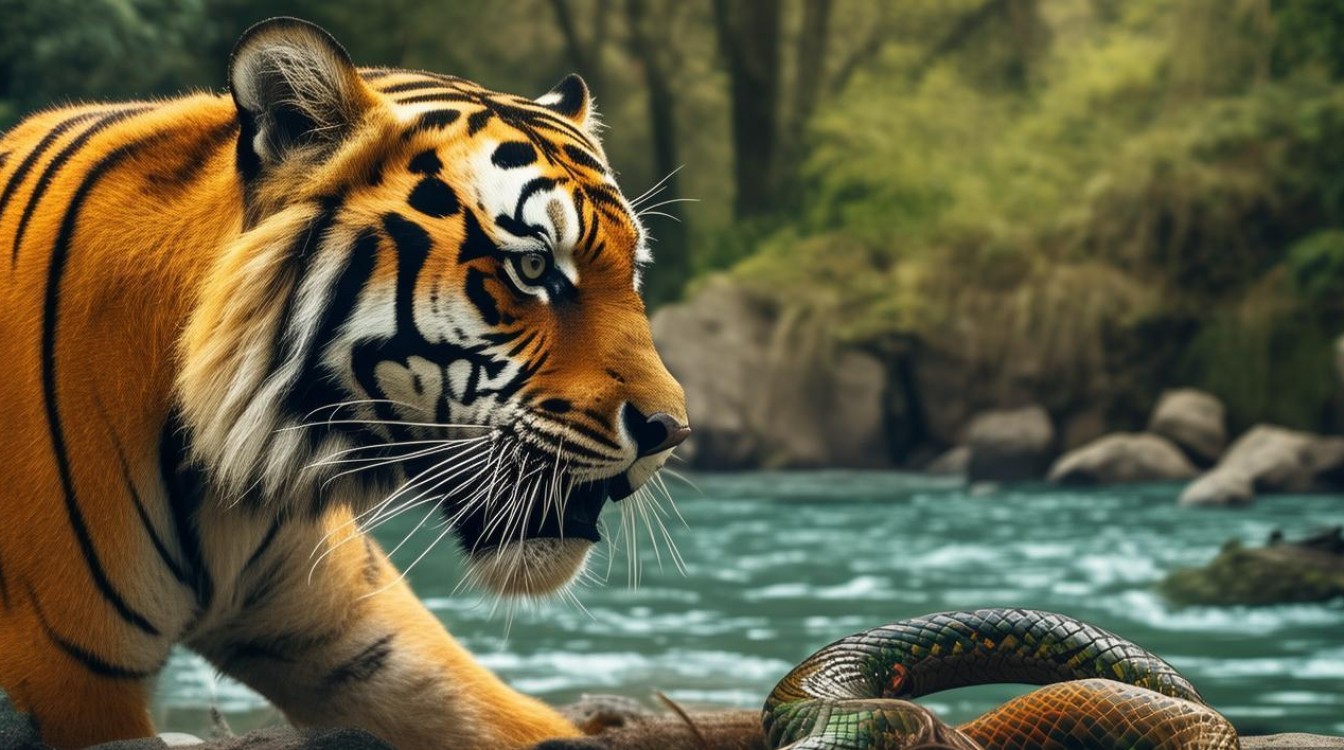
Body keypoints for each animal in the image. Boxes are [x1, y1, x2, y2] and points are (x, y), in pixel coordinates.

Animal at [0, 17, 689, 750]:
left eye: (634, 271)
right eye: (532, 267)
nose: (671, 432)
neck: (234, 485)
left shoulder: (354, 634)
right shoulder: (67, 675)